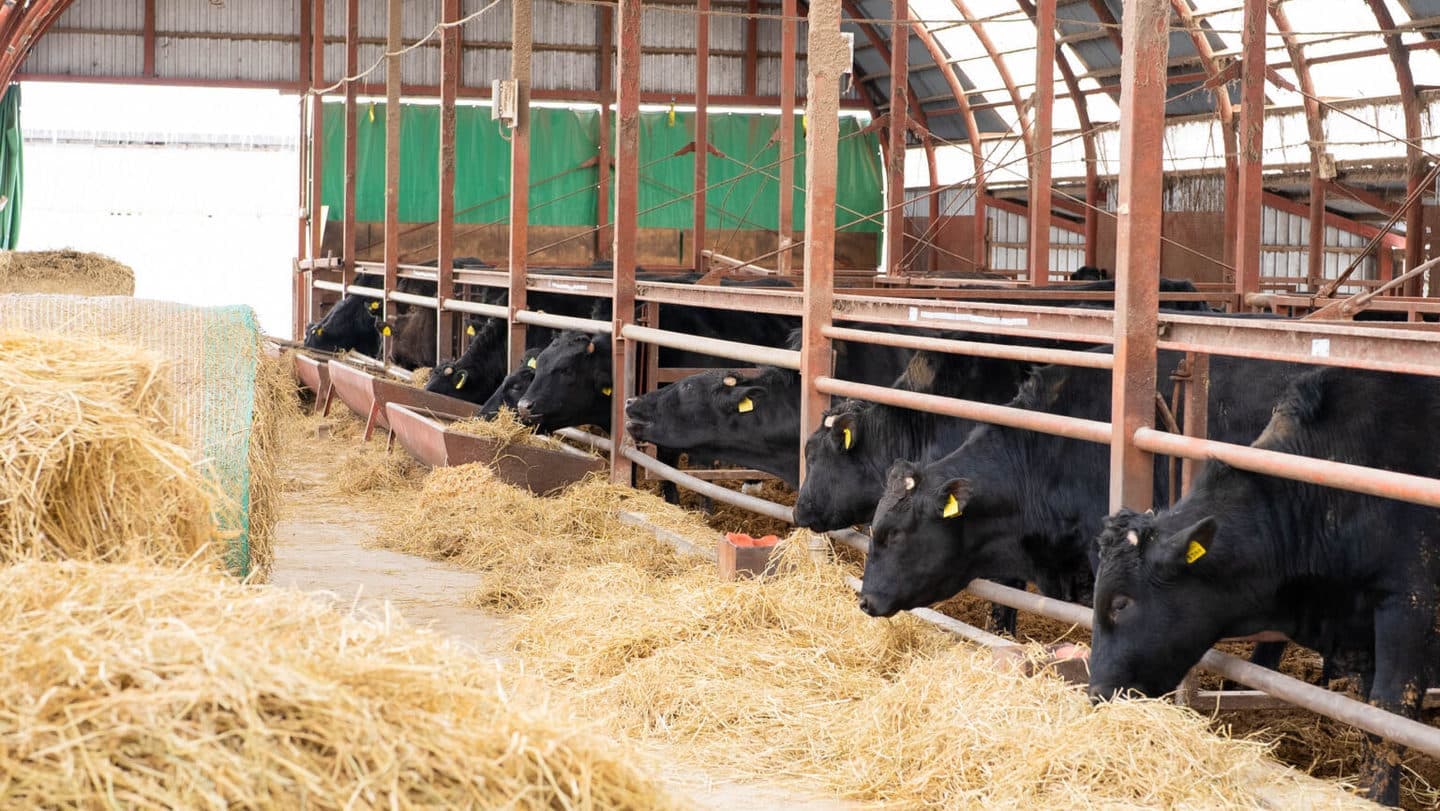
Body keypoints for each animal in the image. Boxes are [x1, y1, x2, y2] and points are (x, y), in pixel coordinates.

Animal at [1088, 368, 1440, 806]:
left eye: (1120, 603)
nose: (1097, 694)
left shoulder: (1410, 602)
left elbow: (1389, 714)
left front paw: (1377, 798)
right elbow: (1367, 715)